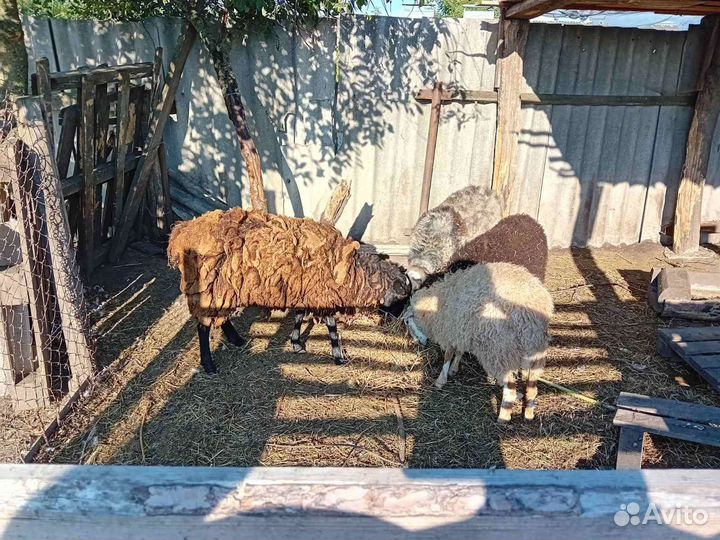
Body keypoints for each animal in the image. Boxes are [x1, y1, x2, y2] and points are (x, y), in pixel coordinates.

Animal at [167, 208, 411, 373]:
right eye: (402, 300)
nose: (401, 324)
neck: (353, 273)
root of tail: (181, 232)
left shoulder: (305, 290)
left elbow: (299, 316)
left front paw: (296, 343)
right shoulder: (321, 291)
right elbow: (332, 327)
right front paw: (338, 356)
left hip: (225, 287)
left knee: (221, 318)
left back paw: (237, 340)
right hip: (209, 285)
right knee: (203, 326)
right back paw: (209, 364)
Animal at [404, 262, 554, 422]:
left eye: (407, 321)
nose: (416, 342)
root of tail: (532, 305)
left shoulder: (450, 329)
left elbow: (448, 356)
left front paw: (441, 380)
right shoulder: (460, 329)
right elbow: (459, 351)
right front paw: (454, 369)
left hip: (499, 349)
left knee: (510, 388)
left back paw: (504, 416)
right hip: (535, 346)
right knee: (532, 387)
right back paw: (528, 413)